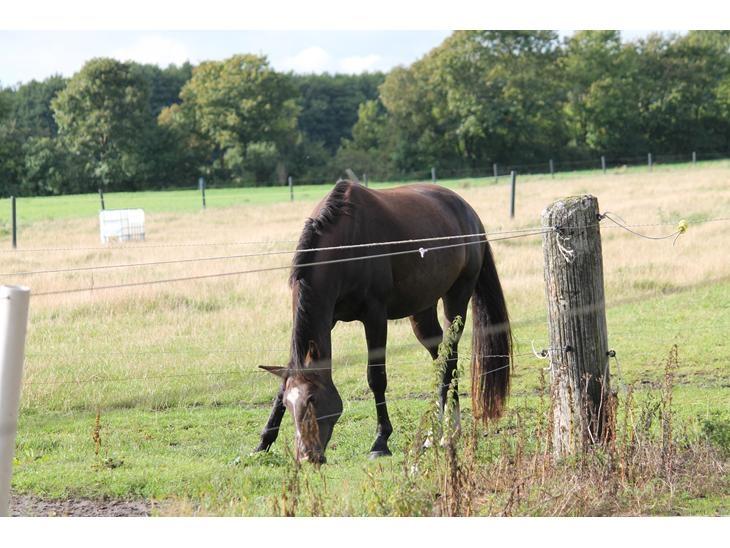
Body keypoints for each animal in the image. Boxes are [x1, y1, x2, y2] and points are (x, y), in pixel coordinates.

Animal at [253, 180, 510, 462]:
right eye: (289, 404)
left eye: (313, 399)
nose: (307, 456)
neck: (346, 243)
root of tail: (469, 214)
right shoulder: (329, 318)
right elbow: (282, 383)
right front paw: (263, 442)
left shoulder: (375, 316)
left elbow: (376, 377)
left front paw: (380, 440)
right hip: (422, 312)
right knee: (440, 359)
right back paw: (435, 434)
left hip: (457, 298)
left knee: (449, 359)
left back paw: (447, 433)